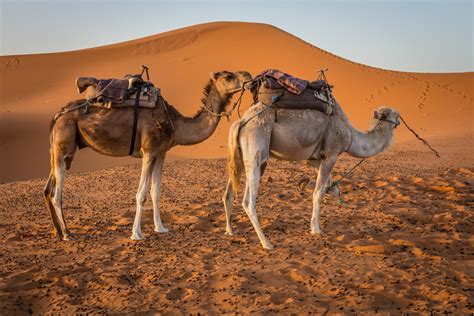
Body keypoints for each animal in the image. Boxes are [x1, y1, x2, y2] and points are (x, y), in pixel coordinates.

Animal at [44, 70, 252, 241]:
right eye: (228, 76)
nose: (248, 76)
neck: (174, 123)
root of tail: (58, 115)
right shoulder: (149, 150)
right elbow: (142, 194)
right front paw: (137, 234)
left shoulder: (161, 152)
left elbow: (156, 192)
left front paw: (160, 227)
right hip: (65, 141)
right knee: (56, 193)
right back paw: (67, 234)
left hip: (61, 149)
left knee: (48, 188)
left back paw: (57, 231)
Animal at [223, 99, 400, 249]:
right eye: (395, 114)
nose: (399, 120)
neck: (350, 135)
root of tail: (241, 122)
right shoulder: (331, 154)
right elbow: (318, 193)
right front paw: (316, 229)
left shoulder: (314, 158)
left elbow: (327, 185)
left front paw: (331, 190)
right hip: (256, 149)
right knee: (248, 201)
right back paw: (266, 243)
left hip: (240, 156)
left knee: (228, 193)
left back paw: (230, 230)